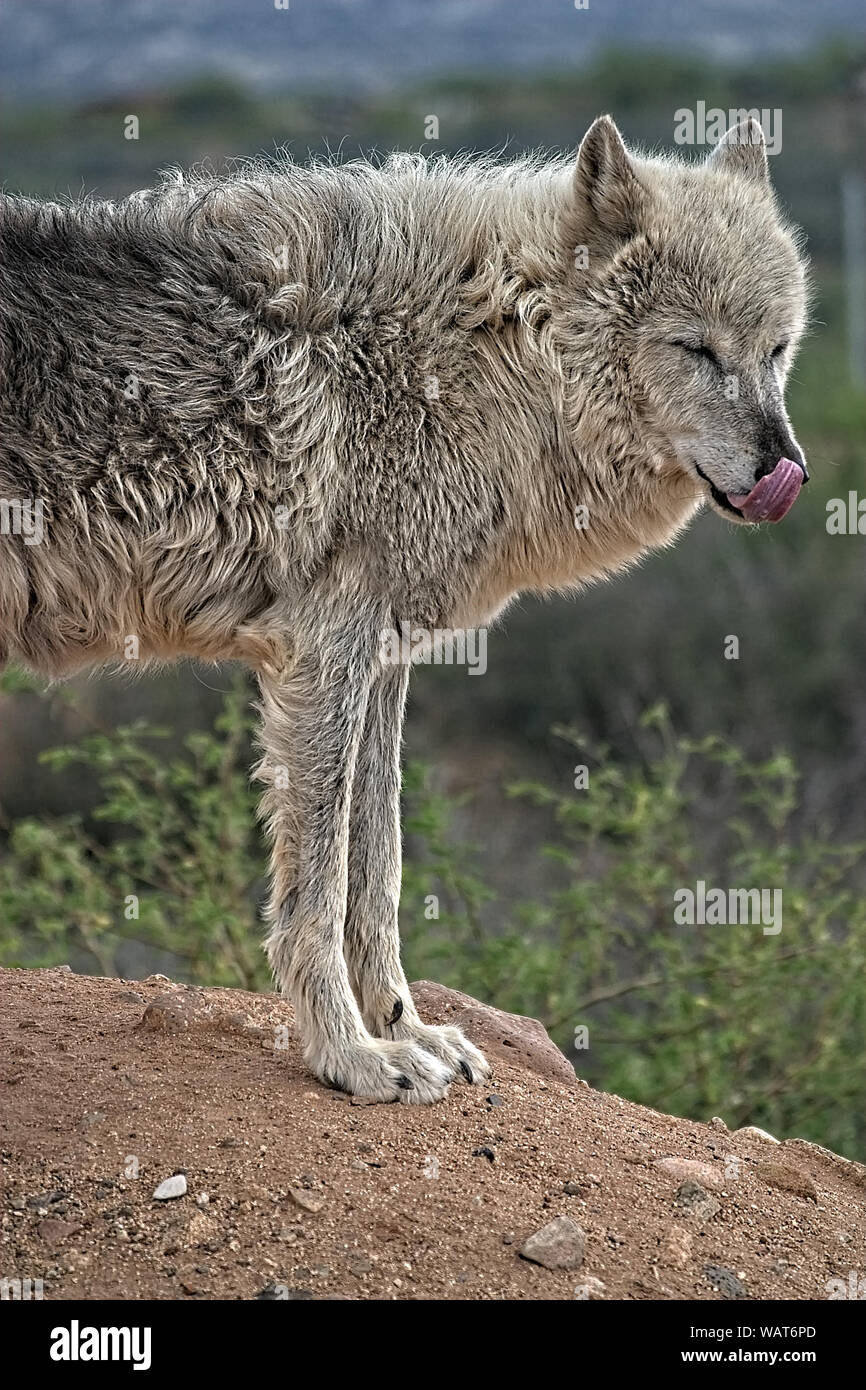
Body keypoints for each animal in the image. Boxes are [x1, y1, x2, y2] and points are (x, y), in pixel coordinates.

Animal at [1, 116, 811, 1095]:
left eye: (775, 350)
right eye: (697, 350)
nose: (786, 470)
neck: (479, 357)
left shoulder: (385, 656)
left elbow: (377, 872)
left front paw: (408, 1029)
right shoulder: (327, 651)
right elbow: (317, 888)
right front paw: (350, 1057)